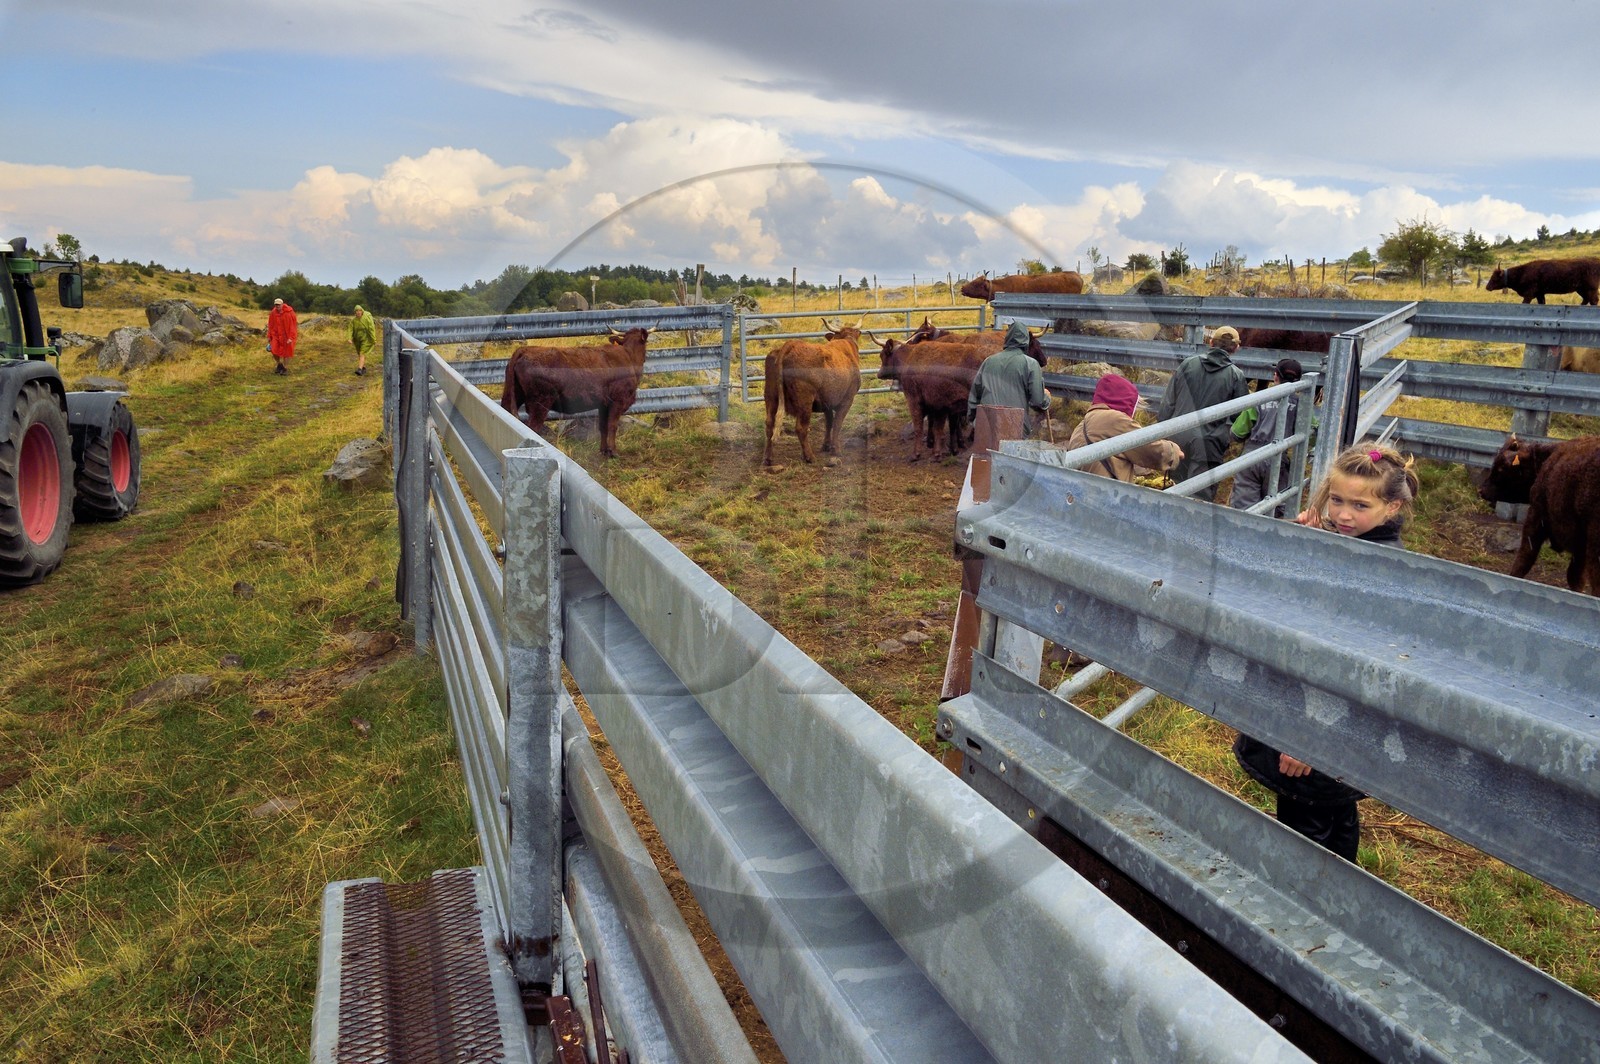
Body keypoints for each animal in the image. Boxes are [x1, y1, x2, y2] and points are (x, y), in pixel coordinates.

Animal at [500, 326, 651, 459]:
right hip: (540, 404)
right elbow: (613, 426)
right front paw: (613, 452)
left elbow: (603, 427)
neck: (628, 357)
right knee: (533, 427)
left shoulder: (603, 405)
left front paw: (604, 451)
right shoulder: (618, 402)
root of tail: (524, 350)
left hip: (512, 396)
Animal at [763, 318, 867, 466]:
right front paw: (836, 449)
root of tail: (791, 345)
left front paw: (826, 445)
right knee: (801, 428)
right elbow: (837, 424)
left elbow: (829, 422)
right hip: (805, 402)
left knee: (769, 425)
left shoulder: (826, 403)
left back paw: (768, 458)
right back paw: (809, 457)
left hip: (771, 398)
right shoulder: (847, 399)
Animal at [877, 329, 1048, 460]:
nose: (879, 374)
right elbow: (942, 427)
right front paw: (941, 451)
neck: (910, 358)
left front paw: (917, 454)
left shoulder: (915, 400)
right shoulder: (941, 405)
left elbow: (920, 427)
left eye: (882, 355)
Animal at [1478, 434, 1600, 595]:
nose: (1481, 490)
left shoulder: (1536, 518)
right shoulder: (1579, 548)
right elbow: (1575, 577)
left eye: (1501, 469)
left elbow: (1524, 559)